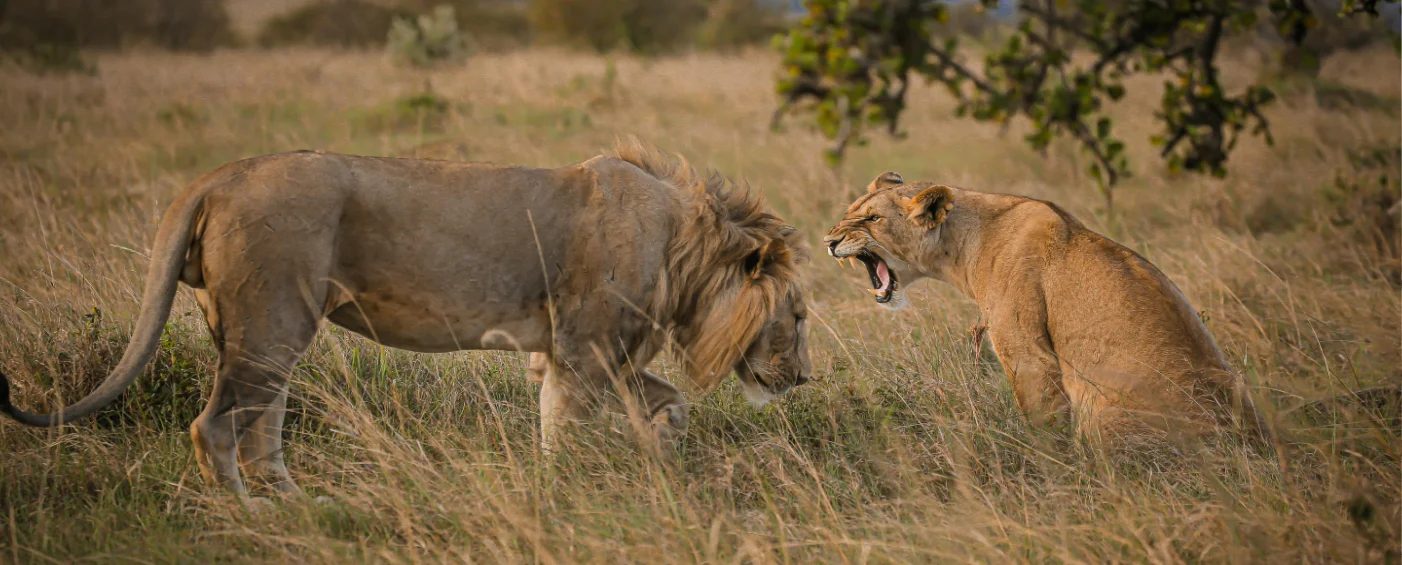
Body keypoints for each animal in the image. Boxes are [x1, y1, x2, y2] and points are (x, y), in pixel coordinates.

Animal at [0, 142, 812, 501]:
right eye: (800, 316)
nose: (802, 379)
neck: (685, 246)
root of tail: (219, 176)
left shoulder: (571, 353)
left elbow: (648, 409)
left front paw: (657, 467)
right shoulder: (585, 347)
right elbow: (577, 424)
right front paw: (569, 489)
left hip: (262, 329)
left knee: (263, 421)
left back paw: (297, 503)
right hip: (272, 318)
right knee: (215, 425)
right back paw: (246, 510)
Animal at [823, 172, 1265, 444]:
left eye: (872, 218)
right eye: (849, 214)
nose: (829, 241)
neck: (964, 245)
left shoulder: (1028, 355)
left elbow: (1043, 424)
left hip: (1102, 412)